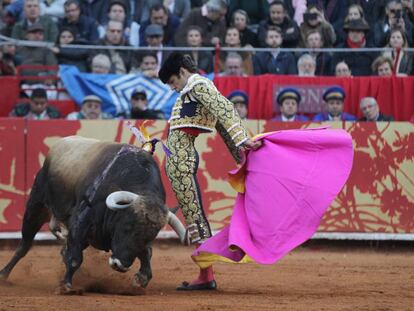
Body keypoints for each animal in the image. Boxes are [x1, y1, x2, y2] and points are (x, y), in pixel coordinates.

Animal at [0, 137, 186, 294]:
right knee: (24, 245)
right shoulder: (81, 221)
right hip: (36, 206)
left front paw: (140, 280)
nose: (120, 266)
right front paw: (65, 285)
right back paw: (4, 274)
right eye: (127, 226)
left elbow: (147, 253)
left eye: (151, 236)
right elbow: (74, 258)